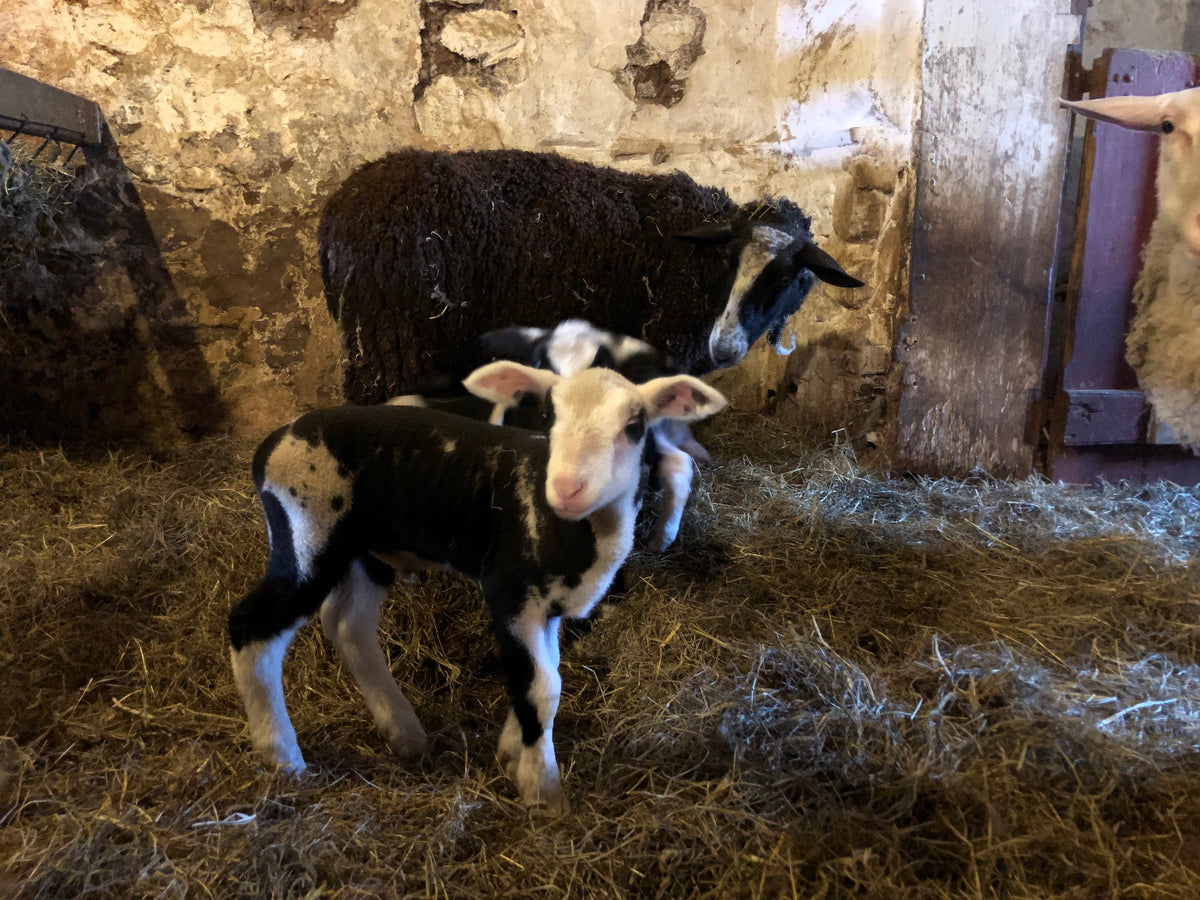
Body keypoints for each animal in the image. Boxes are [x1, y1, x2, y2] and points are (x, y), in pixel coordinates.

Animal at [228, 360, 728, 814]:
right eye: (547, 418)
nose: (567, 488)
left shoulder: (546, 609)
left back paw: (404, 733)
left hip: (370, 550)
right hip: (306, 534)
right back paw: (283, 758)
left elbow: (542, 673)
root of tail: (274, 441)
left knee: (349, 625)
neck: (574, 532)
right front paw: (543, 791)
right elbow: (541, 687)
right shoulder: (510, 594)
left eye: (634, 426)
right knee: (251, 628)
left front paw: (513, 750)